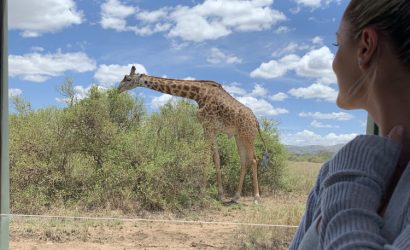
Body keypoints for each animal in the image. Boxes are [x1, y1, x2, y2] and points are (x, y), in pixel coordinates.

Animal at [117, 66, 268, 203]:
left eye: (128, 78)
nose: (118, 89)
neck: (197, 94)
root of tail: (256, 122)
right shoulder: (211, 128)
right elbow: (216, 159)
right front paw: (220, 195)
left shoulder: (207, 125)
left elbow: (207, 158)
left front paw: (202, 191)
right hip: (239, 136)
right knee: (244, 161)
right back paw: (236, 197)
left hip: (247, 136)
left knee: (253, 160)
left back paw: (256, 197)